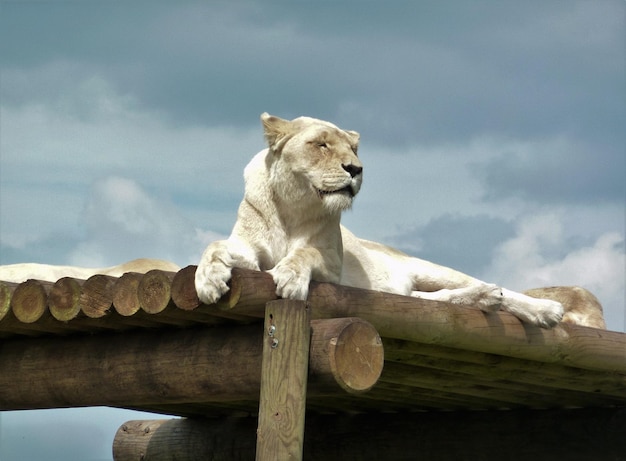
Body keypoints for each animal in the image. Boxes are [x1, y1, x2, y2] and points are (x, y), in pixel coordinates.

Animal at [196, 112, 580, 328]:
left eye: (353, 150)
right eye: (321, 144)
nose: (356, 169)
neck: (294, 206)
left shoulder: (331, 262)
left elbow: (305, 253)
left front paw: (289, 278)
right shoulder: (248, 251)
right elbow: (214, 246)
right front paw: (208, 281)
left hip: (426, 268)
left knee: (479, 285)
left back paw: (542, 309)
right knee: (432, 299)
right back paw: (487, 298)